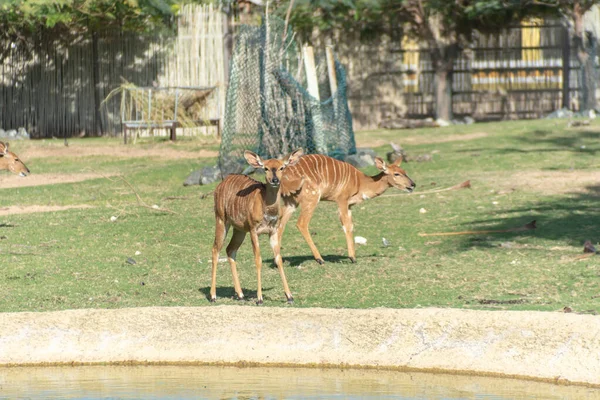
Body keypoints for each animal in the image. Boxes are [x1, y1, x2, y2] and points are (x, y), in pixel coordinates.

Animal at [211, 148, 304, 304]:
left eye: (282, 167)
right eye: (265, 168)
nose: (275, 180)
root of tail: (221, 183)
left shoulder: (273, 231)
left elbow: (278, 259)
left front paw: (290, 296)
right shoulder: (254, 230)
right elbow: (258, 260)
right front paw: (259, 298)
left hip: (239, 229)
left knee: (230, 250)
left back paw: (240, 294)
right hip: (221, 220)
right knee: (215, 249)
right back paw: (213, 296)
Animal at [278, 155, 414, 264]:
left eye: (404, 171)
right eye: (396, 174)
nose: (413, 185)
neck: (361, 183)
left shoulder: (349, 205)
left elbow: (351, 226)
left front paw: (353, 256)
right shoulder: (342, 200)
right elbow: (346, 226)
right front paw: (352, 258)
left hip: (290, 203)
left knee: (280, 225)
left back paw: (279, 260)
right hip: (312, 198)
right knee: (301, 223)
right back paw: (320, 259)